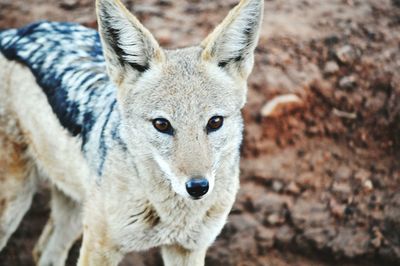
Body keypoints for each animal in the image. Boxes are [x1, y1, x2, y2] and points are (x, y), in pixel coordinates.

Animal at [0, 0, 264, 264]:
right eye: (161, 124)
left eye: (215, 122)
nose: (198, 187)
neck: (171, 215)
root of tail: (15, 32)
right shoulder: (99, 249)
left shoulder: (188, 250)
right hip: (17, 202)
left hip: (75, 213)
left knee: (43, 250)